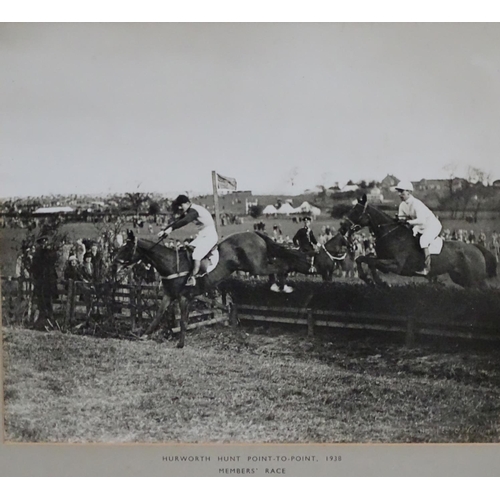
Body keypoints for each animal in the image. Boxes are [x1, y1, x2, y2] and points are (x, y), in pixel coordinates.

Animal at [336, 195, 496, 288]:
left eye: (356, 211)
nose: (342, 228)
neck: (390, 234)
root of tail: (476, 248)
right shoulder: (381, 257)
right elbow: (364, 258)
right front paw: (371, 279)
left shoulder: (397, 265)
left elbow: (370, 260)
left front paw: (378, 281)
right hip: (461, 279)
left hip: (475, 278)